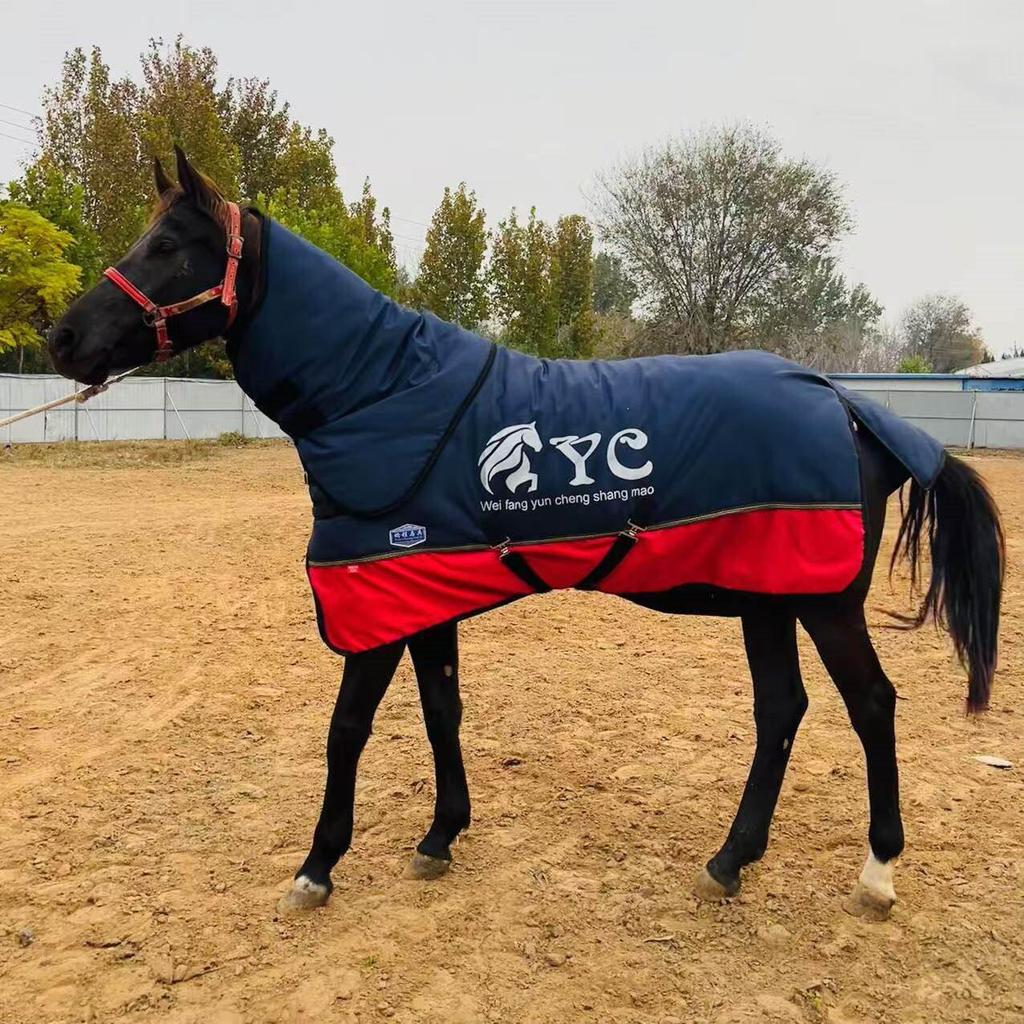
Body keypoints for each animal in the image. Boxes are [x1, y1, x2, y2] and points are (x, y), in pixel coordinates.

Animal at [48, 147, 1004, 921]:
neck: (383, 393)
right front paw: (440, 837)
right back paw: (729, 861)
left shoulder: (375, 600)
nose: (62, 337)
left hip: (822, 599)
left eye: (168, 246)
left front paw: (317, 866)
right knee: (782, 711)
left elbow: (347, 726)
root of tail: (846, 403)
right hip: (767, 598)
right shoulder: (419, 590)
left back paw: (875, 875)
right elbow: (441, 711)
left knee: (870, 704)